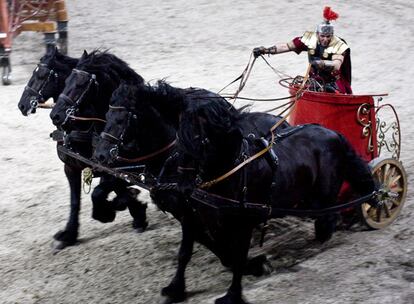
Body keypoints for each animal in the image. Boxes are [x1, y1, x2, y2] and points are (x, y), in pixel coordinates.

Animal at [42, 50, 149, 249]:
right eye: (66, 81)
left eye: (81, 84)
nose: (55, 115)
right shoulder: (72, 167)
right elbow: (75, 200)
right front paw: (68, 234)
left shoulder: (117, 170)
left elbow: (99, 193)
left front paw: (112, 211)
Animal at [92, 81, 290, 304]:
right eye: (106, 115)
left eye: (122, 119)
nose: (99, 155)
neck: (172, 157)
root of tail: (278, 122)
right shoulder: (185, 212)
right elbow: (201, 243)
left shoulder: (191, 211)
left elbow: (188, 249)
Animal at [176, 98, 376, 304]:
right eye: (178, 137)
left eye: (197, 138)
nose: (182, 185)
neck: (235, 169)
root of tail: (333, 133)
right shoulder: (212, 221)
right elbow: (223, 251)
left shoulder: (243, 224)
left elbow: (238, 257)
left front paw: (234, 294)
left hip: (324, 192)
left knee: (330, 216)